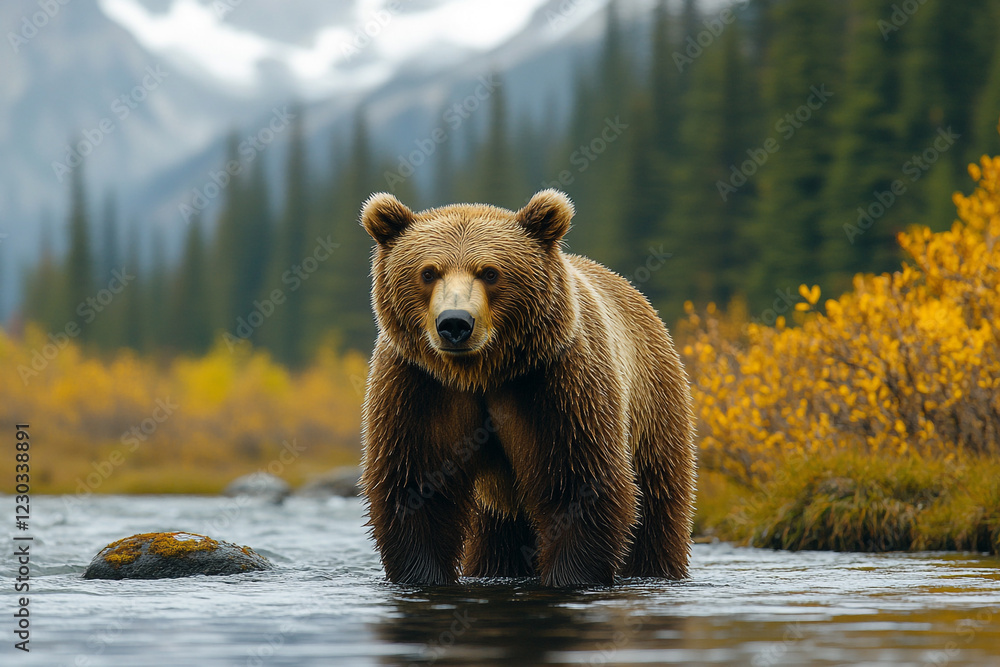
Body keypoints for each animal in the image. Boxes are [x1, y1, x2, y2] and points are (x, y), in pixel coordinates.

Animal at [359, 189, 696, 587]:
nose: (455, 323)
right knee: (497, 534)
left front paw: (569, 576)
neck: (480, 373)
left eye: (490, 272)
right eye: (428, 272)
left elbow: (578, 483)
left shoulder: (557, 384)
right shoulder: (418, 387)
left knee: (659, 503)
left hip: (653, 407)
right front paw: (423, 575)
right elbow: (416, 486)